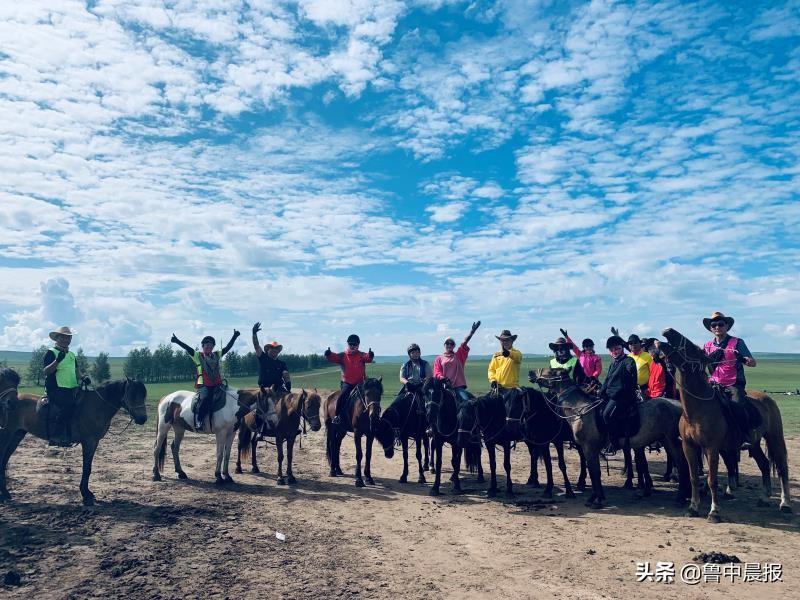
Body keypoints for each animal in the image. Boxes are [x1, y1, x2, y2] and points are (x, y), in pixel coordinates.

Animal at [0, 378, 148, 504]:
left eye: (143, 395)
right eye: (132, 395)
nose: (143, 419)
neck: (97, 406)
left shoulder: (94, 442)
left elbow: (88, 467)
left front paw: (87, 492)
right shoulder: (89, 442)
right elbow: (86, 468)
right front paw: (86, 495)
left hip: (17, 435)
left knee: (5, 459)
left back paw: (6, 493)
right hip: (6, 434)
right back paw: (5, 494)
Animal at [532, 368, 688, 508]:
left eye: (552, 371)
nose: (531, 373)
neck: (581, 410)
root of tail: (681, 406)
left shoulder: (589, 448)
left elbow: (594, 472)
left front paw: (596, 499)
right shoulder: (590, 449)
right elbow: (595, 472)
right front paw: (597, 497)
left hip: (672, 441)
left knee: (682, 465)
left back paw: (681, 498)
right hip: (666, 440)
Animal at [656, 328, 792, 520]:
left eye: (694, 348)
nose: (669, 331)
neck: (697, 410)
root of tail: (767, 399)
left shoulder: (712, 448)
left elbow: (712, 479)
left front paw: (714, 511)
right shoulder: (689, 446)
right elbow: (693, 478)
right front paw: (693, 507)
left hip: (775, 437)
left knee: (781, 468)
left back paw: (785, 504)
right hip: (755, 443)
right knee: (765, 464)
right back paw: (765, 498)